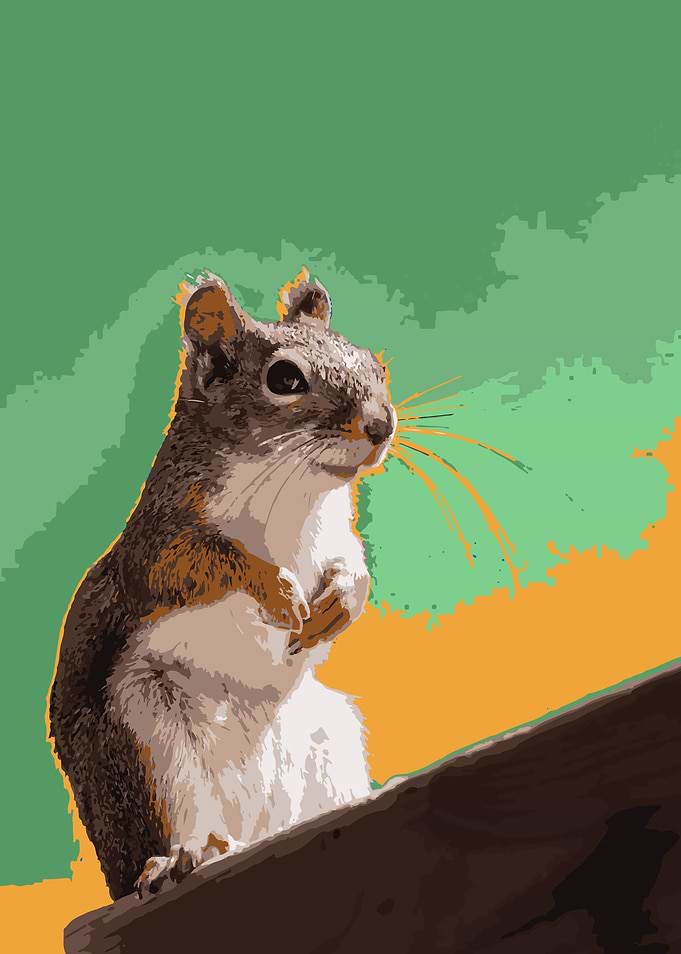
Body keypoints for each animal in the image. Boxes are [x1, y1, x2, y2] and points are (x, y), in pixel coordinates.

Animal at [49, 267, 396, 901]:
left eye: (373, 365)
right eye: (284, 379)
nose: (381, 425)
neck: (295, 490)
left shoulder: (337, 533)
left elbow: (353, 564)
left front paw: (342, 600)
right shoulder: (158, 549)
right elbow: (205, 563)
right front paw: (276, 589)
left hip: (327, 736)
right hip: (145, 733)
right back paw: (186, 855)